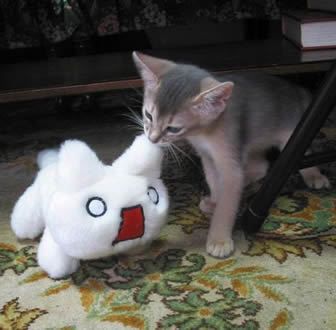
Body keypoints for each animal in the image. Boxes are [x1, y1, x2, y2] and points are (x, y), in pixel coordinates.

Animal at [133, 51, 330, 260]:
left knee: (301, 154)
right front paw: (214, 201)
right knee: (261, 167)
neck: (205, 132)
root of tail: (296, 89)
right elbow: (213, 180)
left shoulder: (229, 162)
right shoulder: (208, 156)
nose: (152, 138)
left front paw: (220, 240)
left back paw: (314, 176)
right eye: (148, 115)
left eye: (173, 128)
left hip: (291, 133)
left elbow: (227, 203)